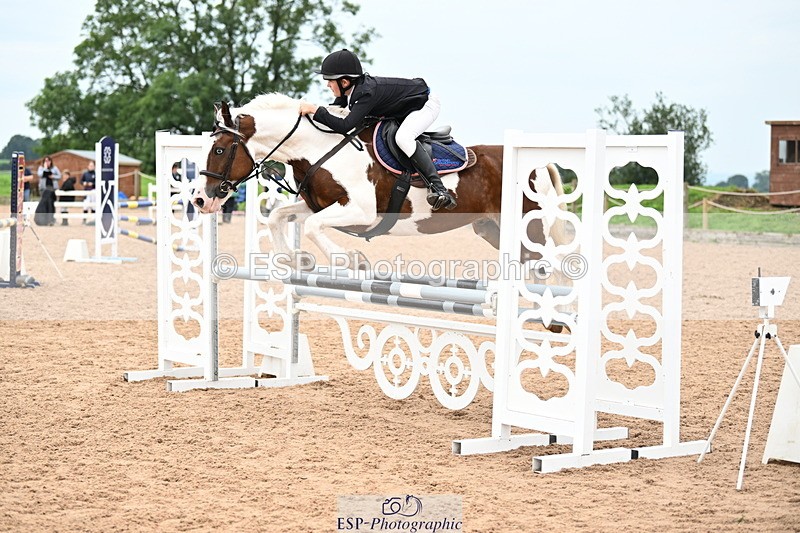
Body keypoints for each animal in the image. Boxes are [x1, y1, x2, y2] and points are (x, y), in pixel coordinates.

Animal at [192, 93, 566, 268]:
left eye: (221, 150)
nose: (200, 199)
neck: (319, 147)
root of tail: (536, 163)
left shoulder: (362, 211)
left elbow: (312, 226)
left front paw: (350, 259)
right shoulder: (320, 203)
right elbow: (278, 216)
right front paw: (296, 259)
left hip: (530, 227)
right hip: (492, 228)